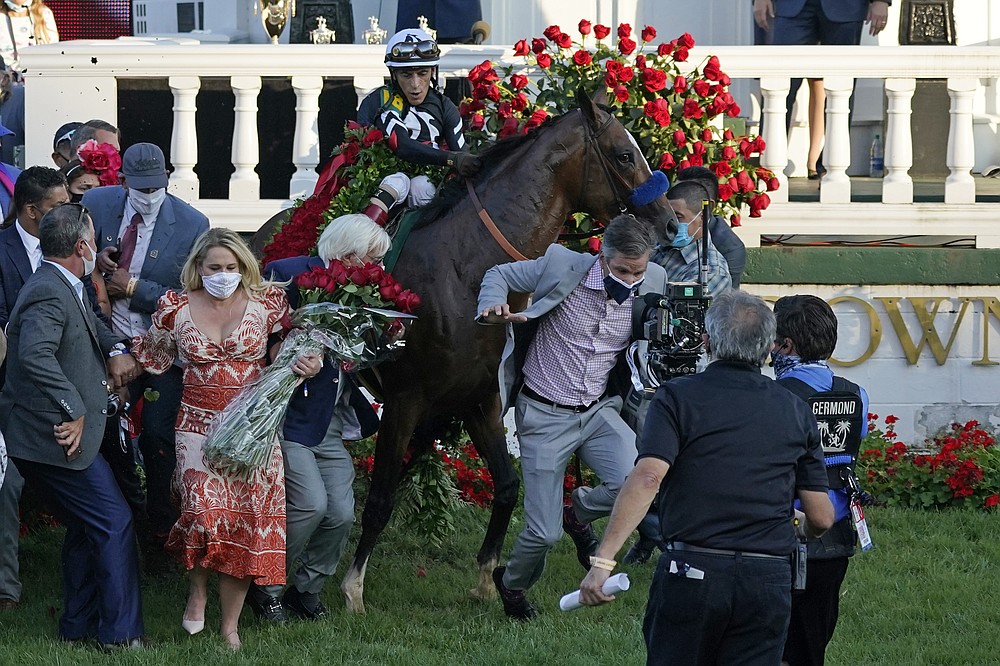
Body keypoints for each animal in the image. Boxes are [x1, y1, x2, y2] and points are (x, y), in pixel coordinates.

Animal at [340, 85, 676, 608]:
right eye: (624, 155)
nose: (670, 224)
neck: (466, 269)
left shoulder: (481, 397)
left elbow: (507, 485)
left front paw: (487, 576)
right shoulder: (404, 398)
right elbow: (380, 498)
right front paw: (353, 586)